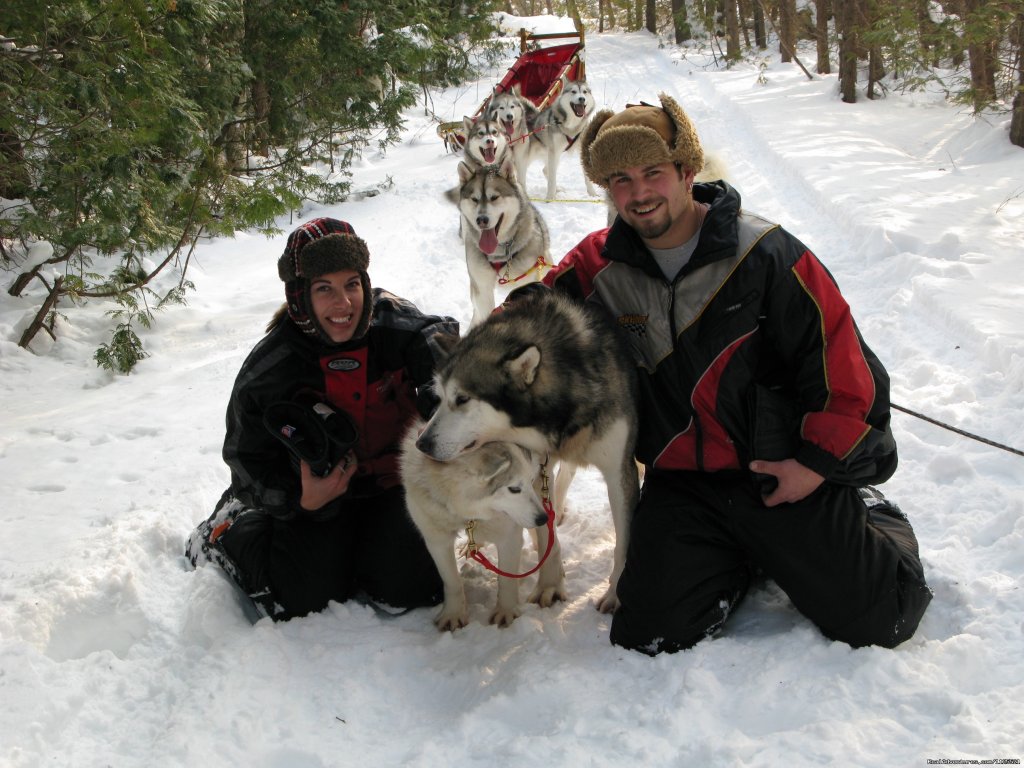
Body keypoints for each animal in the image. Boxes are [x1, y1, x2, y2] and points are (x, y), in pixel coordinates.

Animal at [397, 421, 548, 630]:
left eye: (530, 481)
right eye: (514, 489)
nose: (543, 518)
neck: (468, 514)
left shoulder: (509, 536)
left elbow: (507, 579)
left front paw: (506, 611)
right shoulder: (437, 540)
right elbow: (451, 581)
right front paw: (453, 614)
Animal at [415, 288, 638, 614]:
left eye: (463, 399)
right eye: (440, 397)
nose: (422, 444)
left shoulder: (618, 470)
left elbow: (624, 543)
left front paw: (616, 594)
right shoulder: (533, 471)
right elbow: (546, 532)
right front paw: (550, 585)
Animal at [444, 157, 548, 325]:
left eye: (494, 197)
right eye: (474, 199)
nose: (481, 220)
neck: (500, 251)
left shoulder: (526, 280)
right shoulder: (482, 288)